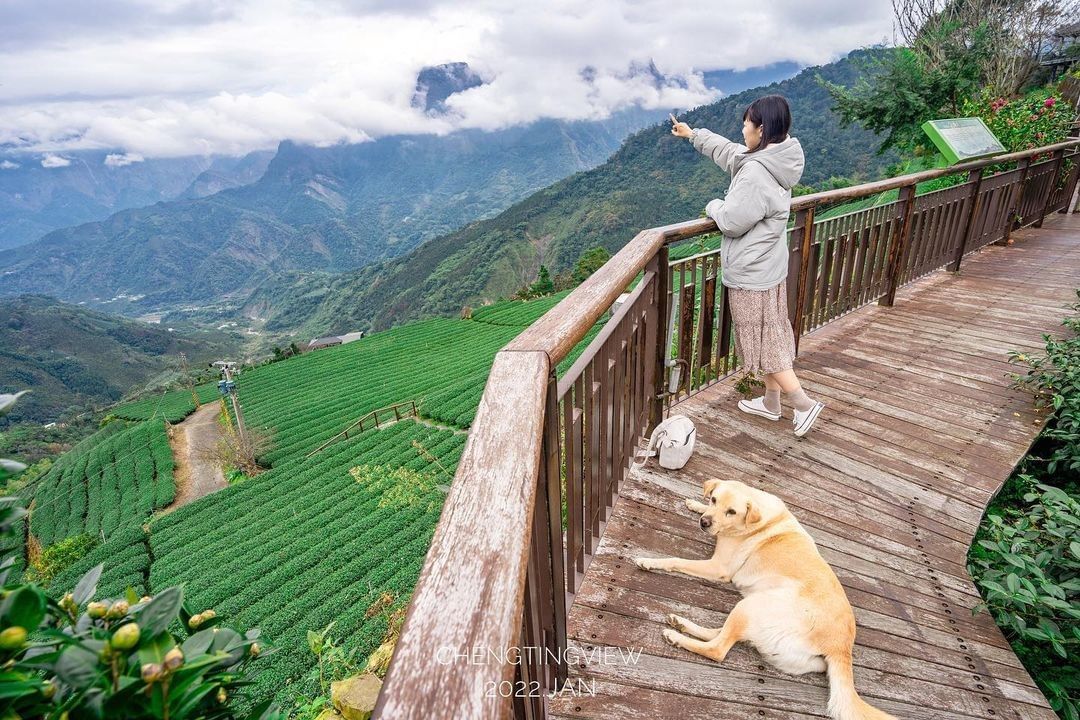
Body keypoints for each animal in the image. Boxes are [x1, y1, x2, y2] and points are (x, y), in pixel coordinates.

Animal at [630, 479, 894, 720]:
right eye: (713, 499)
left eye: (731, 511)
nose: (704, 523)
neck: (759, 517)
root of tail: (841, 646)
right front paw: (695, 504)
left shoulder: (718, 568)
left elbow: (675, 560)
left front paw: (649, 561)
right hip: (757, 614)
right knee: (722, 634)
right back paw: (681, 624)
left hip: (754, 605)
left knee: (718, 649)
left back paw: (676, 636)